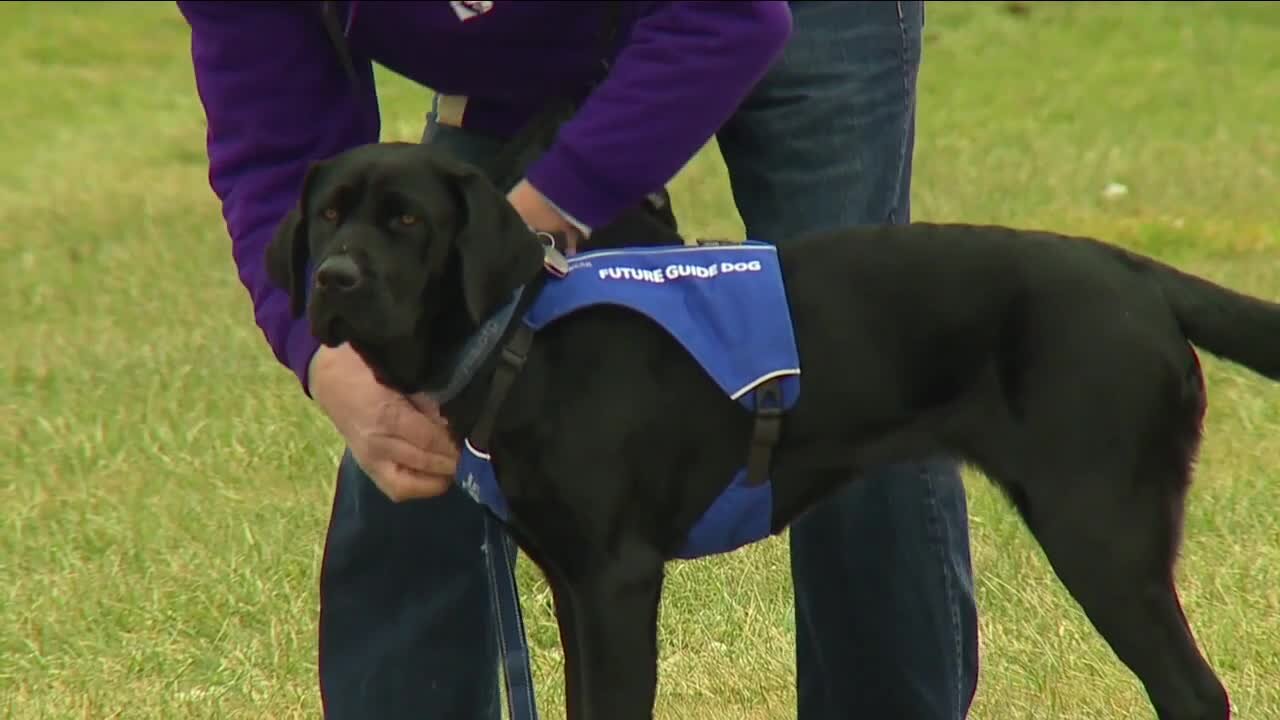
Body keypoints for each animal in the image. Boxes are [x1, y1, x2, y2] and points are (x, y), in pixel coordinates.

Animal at [264, 140, 1274, 717]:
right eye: (329, 215)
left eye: (408, 220)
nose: (336, 279)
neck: (519, 336)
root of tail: (1138, 273)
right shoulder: (569, 582)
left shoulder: (618, 580)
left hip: (1100, 532)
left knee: (1193, 692)